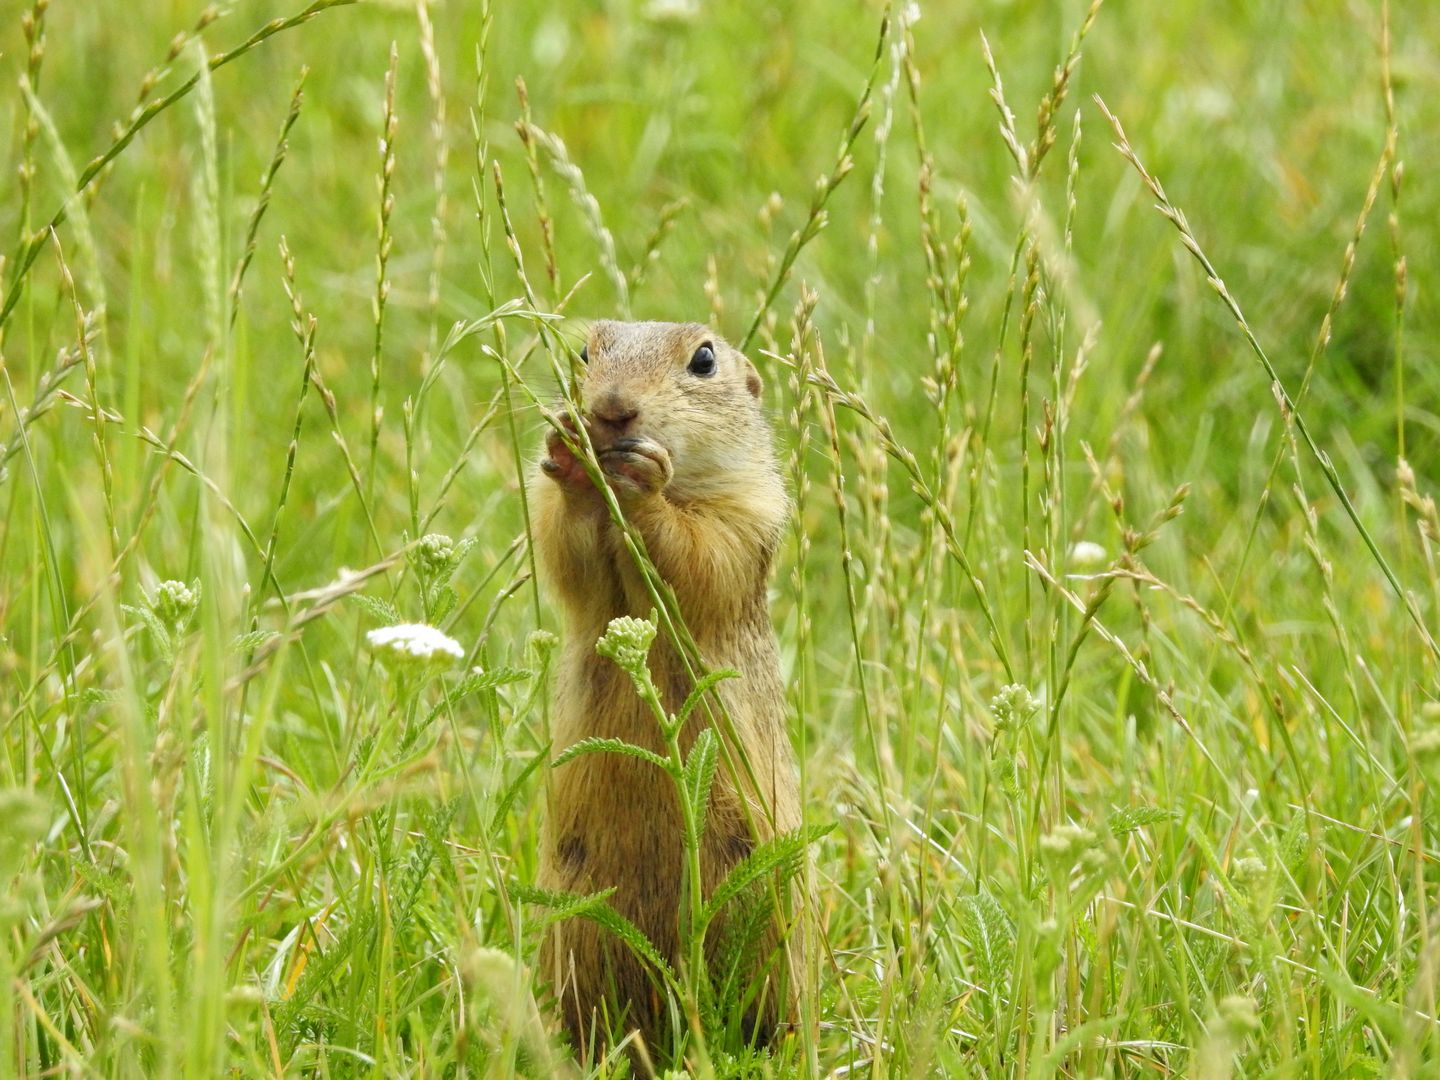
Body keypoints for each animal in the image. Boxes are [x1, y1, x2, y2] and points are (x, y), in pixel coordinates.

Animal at [532, 319, 806, 1059]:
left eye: (704, 360)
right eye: (584, 352)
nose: (611, 410)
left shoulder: (750, 510)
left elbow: (701, 554)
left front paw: (644, 484)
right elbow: (569, 553)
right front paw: (570, 453)